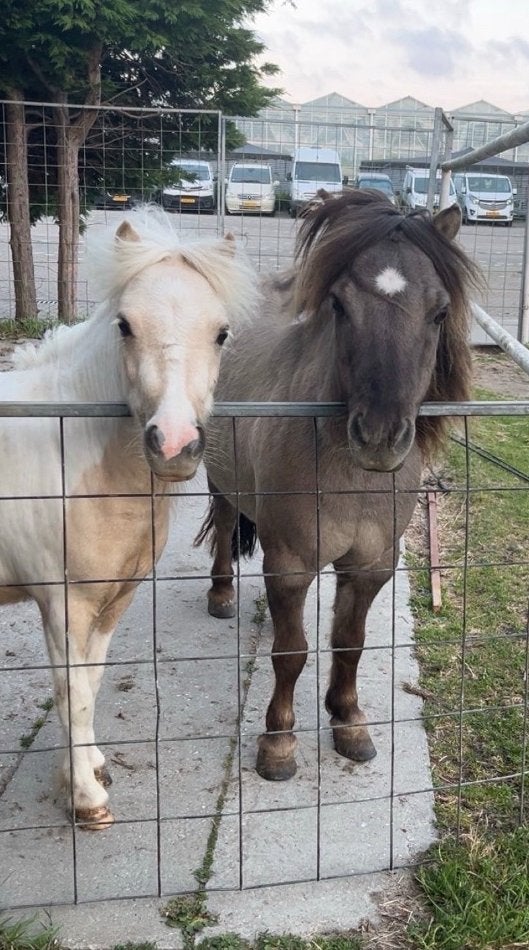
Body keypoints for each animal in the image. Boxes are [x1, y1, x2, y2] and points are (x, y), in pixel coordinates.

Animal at [0, 209, 256, 828]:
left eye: (221, 333)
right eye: (125, 326)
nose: (175, 445)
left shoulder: (113, 599)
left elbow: (91, 680)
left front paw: (90, 768)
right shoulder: (63, 605)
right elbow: (72, 691)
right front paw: (87, 801)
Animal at [197, 190, 480, 783]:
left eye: (440, 312)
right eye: (340, 305)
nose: (379, 437)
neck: (350, 477)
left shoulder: (371, 565)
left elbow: (348, 644)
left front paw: (348, 721)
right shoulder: (290, 563)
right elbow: (291, 653)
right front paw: (278, 743)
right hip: (221, 478)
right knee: (227, 518)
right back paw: (221, 593)